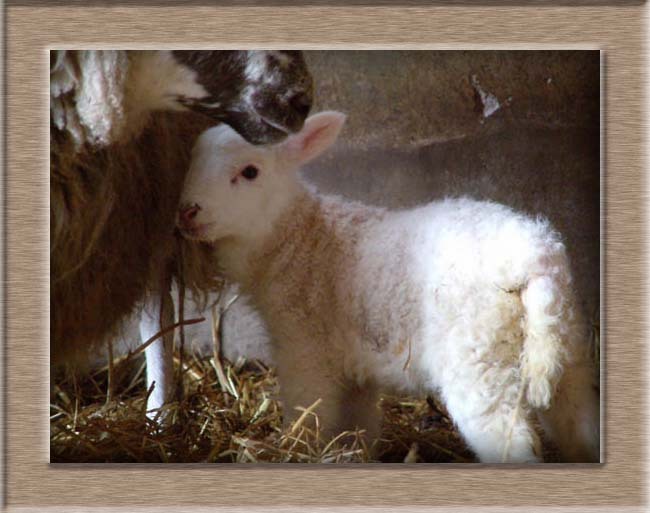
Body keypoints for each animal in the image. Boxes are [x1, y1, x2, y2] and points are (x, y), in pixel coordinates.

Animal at [176, 110, 596, 462]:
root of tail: (533, 257)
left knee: (509, 440)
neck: (300, 238)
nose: (187, 212)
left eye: (250, 172)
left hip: (480, 362)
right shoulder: (351, 368)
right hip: (563, 349)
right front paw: (351, 454)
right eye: (191, 160)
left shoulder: (305, 349)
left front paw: (293, 449)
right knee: (579, 425)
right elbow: (357, 425)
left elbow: (307, 413)